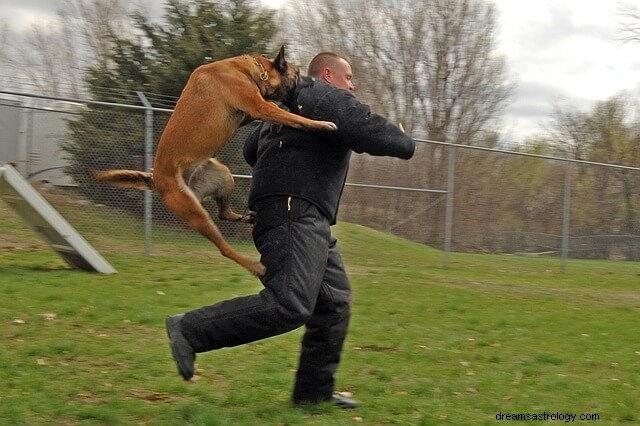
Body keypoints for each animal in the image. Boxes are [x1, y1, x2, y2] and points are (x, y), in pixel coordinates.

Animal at [95, 45, 338, 274]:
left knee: (223, 213)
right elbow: (294, 117)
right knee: (224, 248)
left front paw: (278, 123)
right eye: (297, 73)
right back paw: (254, 267)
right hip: (195, 213)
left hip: (223, 176)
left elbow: (279, 109)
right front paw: (321, 124)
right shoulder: (257, 106)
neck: (252, 71)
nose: (314, 80)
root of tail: (157, 179)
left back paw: (247, 218)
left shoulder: (249, 112)